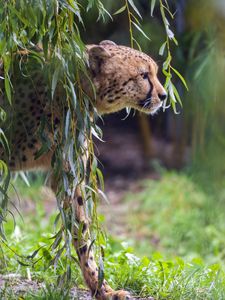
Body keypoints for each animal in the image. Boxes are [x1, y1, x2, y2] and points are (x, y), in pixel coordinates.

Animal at [0, 40, 167, 300]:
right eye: (143, 75)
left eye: (154, 73)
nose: (164, 95)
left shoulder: (66, 172)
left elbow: (81, 230)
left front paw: (103, 289)